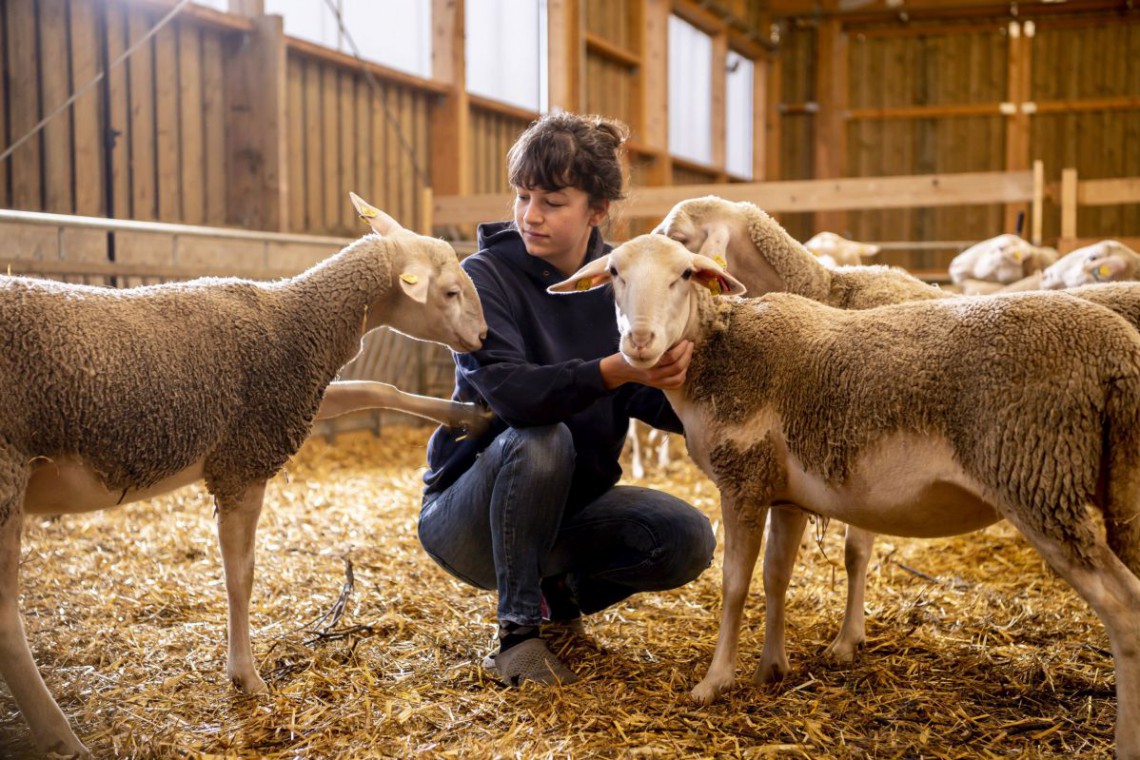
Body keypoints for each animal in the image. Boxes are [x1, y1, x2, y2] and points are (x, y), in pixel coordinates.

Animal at [0, 193, 485, 756]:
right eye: (450, 292)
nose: (483, 337)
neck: (295, 323)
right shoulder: (246, 456)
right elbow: (241, 575)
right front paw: (246, 677)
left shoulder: (295, 402)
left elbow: (377, 389)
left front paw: (473, 417)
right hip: (5, 475)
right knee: (6, 622)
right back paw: (62, 738)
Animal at [551, 234, 1140, 756]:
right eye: (615, 274)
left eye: (684, 274)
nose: (639, 342)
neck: (721, 355)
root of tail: (1119, 357)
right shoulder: (784, 494)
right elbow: (777, 577)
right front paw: (771, 667)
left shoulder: (743, 480)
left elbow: (736, 585)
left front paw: (716, 681)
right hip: (1118, 489)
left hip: (1037, 477)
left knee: (1125, 610)